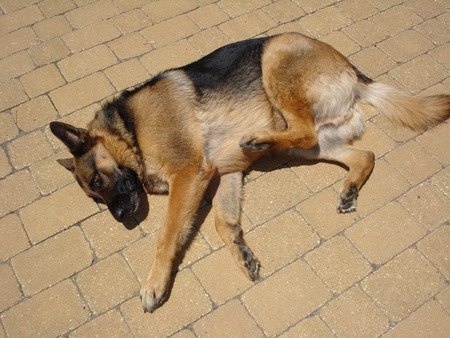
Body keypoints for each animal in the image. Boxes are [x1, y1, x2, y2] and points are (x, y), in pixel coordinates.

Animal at [50, 33, 450, 312]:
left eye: (97, 181)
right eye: (94, 196)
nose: (120, 218)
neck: (128, 131)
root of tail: (354, 73)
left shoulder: (189, 173)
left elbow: (166, 236)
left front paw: (154, 284)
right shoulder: (223, 172)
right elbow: (223, 222)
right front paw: (241, 252)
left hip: (275, 59)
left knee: (303, 129)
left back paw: (259, 138)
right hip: (315, 146)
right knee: (363, 154)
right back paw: (347, 187)